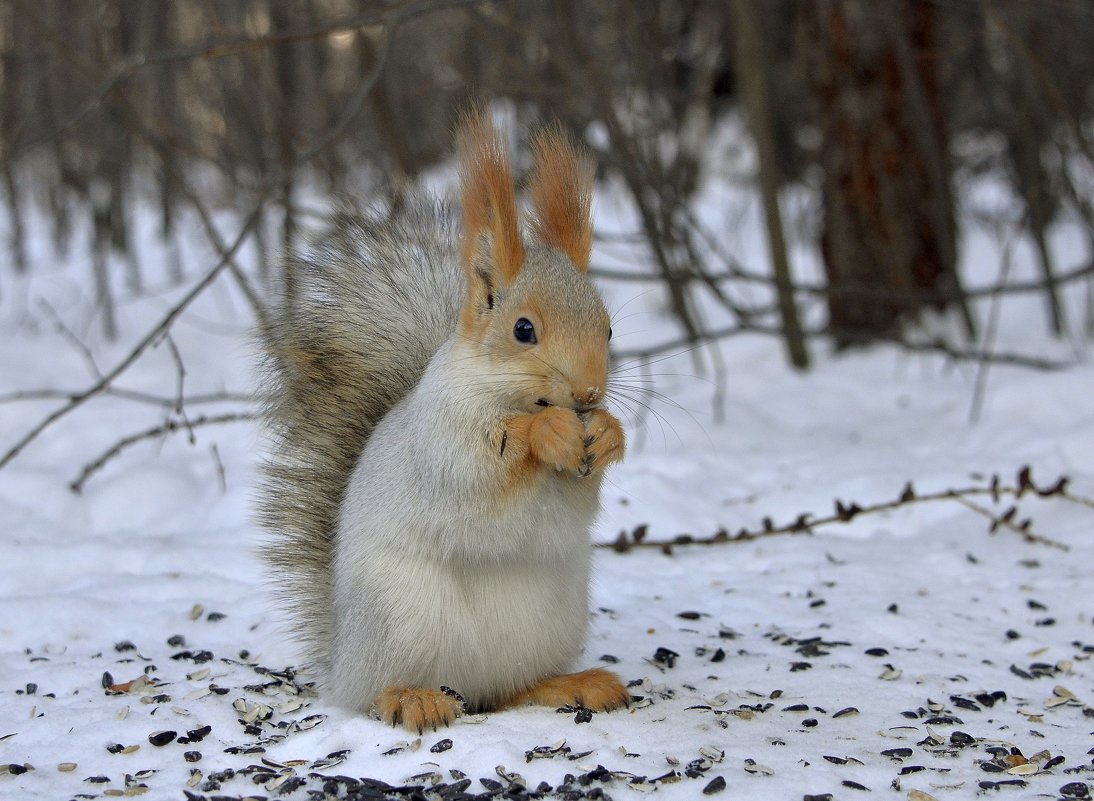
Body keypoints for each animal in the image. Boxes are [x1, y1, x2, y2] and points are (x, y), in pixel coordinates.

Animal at [255, 112, 630, 730]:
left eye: (607, 328)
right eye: (523, 329)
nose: (588, 393)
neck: (508, 396)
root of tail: (343, 660)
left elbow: (577, 504)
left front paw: (607, 434)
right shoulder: (442, 440)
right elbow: (477, 479)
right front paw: (547, 435)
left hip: (548, 625)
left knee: (508, 689)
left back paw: (573, 684)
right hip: (400, 615)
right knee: (380, 691)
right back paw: (411, 698)